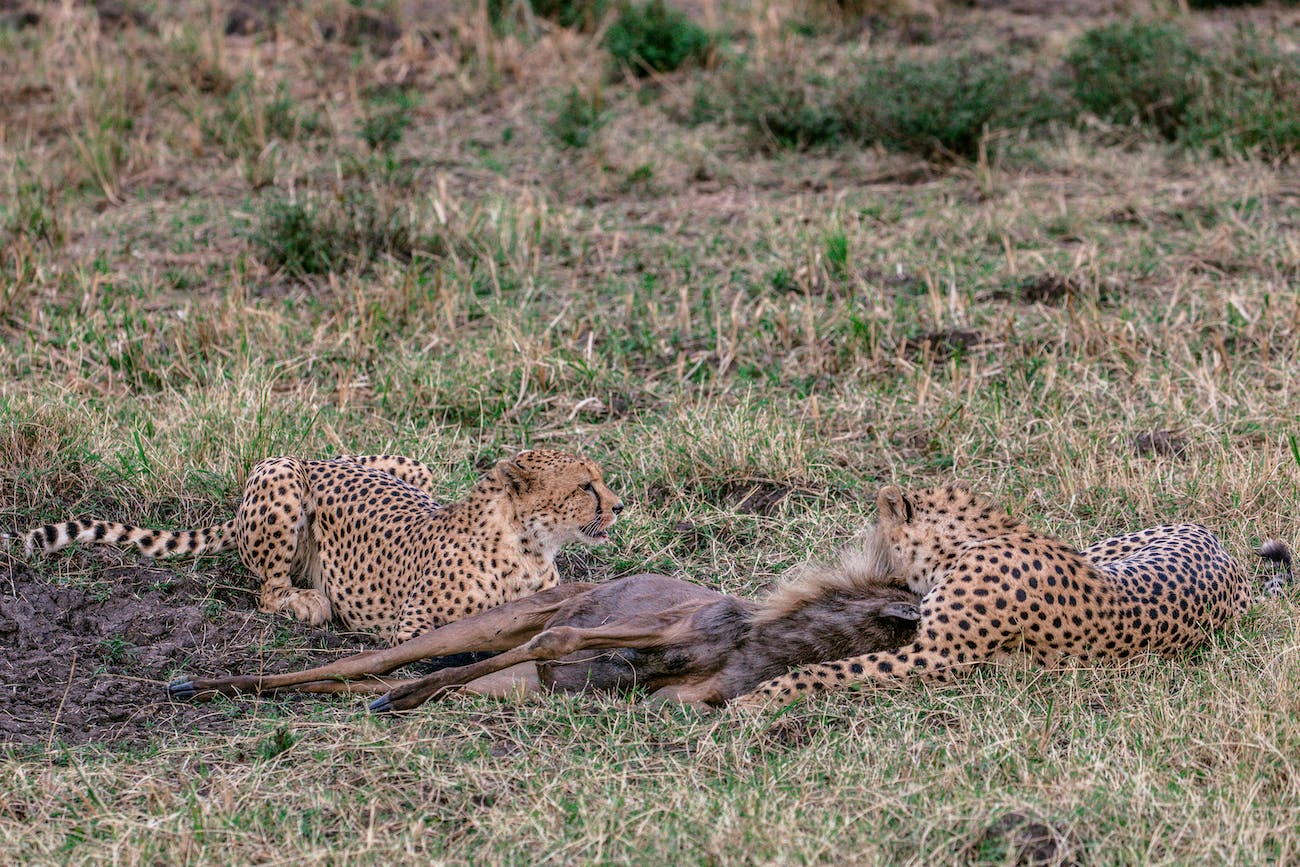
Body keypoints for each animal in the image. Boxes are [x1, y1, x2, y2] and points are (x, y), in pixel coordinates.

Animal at [15, 452, 624, 647]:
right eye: (585, 486)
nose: (620, 506)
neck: (526, 547)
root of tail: (319, 457)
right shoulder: (412, 628)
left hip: (413, 465)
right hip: (279, 475)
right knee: (267, 590)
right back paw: (309, 602)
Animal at [738, 480, 1294, 712]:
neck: (965, 544)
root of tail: (1229, 559)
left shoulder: (936, 656)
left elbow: (832, 669)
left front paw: (762, 697)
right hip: (1104, 547)